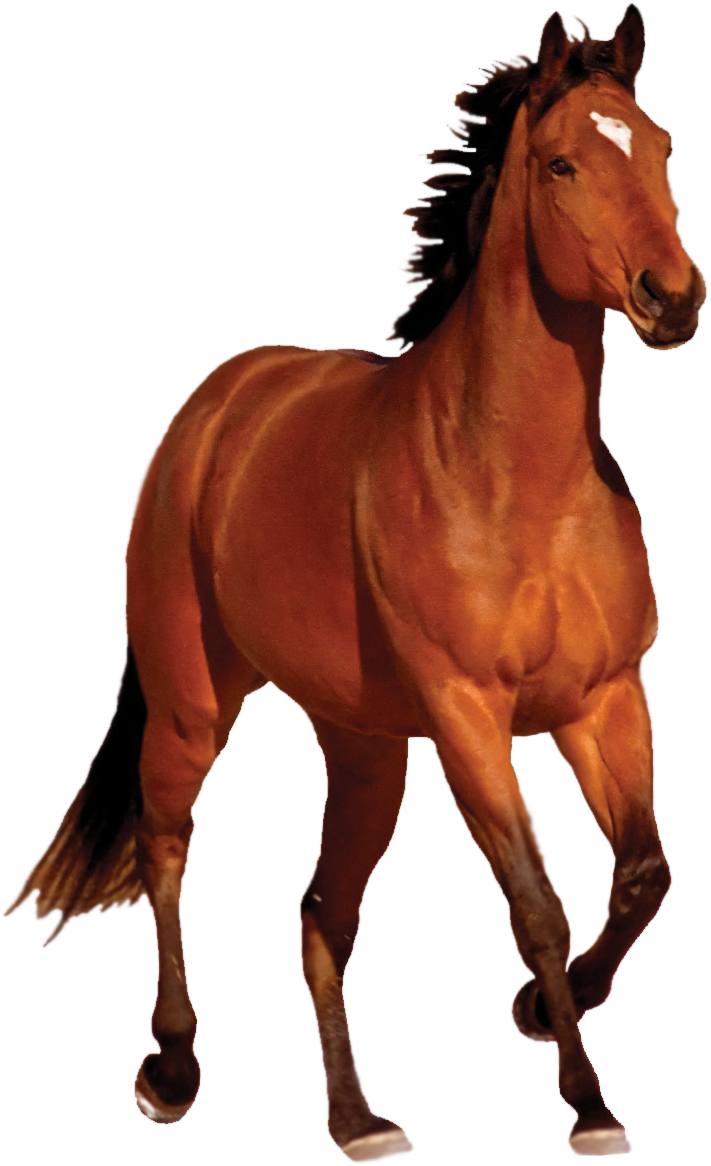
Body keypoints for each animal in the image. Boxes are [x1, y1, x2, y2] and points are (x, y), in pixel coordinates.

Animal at [4, 4, 705, 1159]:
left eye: (660, 148)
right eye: (562, 163)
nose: (674, 298)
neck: (515, 480)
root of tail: (214, 409)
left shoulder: (604, 698)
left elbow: (645, 871)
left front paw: (537, 1011)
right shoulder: (468, 716)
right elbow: (536, 899)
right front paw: (590, 1104)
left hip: (366, 747)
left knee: (321, 913)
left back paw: (356, 1120)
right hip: (195, 705)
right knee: (166, 849)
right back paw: (173, 1069)